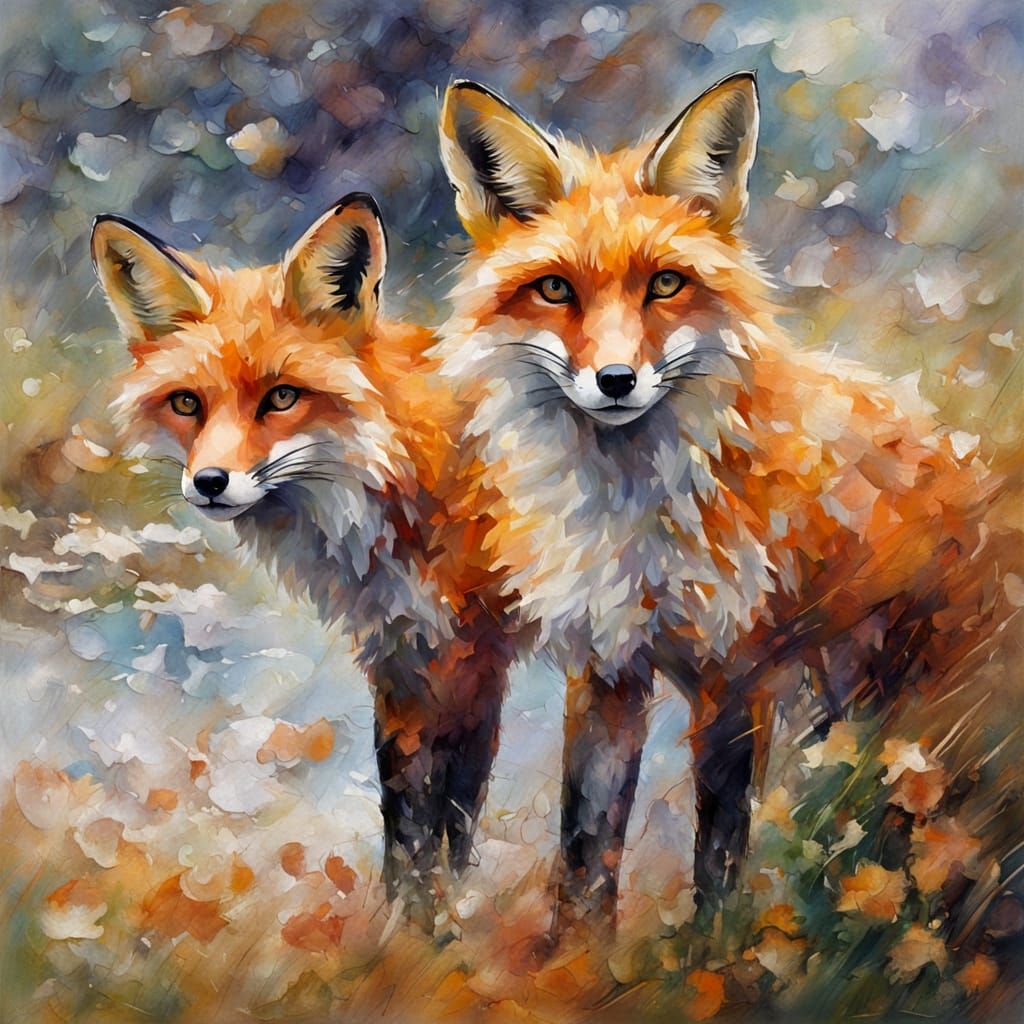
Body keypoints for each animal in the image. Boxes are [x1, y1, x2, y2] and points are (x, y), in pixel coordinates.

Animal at [91, 194, 517, 930]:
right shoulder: (399, 654)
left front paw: (441, 926)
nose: (209, 482)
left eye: (282, 397)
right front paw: (400, 929)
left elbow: (451, 816)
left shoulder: (471, 656)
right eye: (187, 403)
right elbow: (404, 812)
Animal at [435, 74, 1019, 935]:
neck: (636, 512)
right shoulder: (608, 668)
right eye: (555, 289)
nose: (616, 381)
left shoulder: (735, 673)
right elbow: (586, 845)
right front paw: (574, 955)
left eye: (665, 283)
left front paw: (705, 953)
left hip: (903, 706)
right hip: (848, 705)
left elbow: (718, 852)